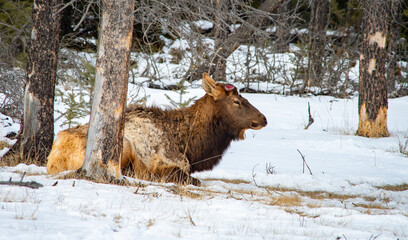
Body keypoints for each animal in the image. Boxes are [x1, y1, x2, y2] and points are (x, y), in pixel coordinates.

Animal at [47, 73, 268, 186]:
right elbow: (191, 179)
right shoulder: (168, 163)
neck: (191, 146)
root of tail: (55, 154)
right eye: (236, 101)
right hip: (123, 147)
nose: (263, 119)